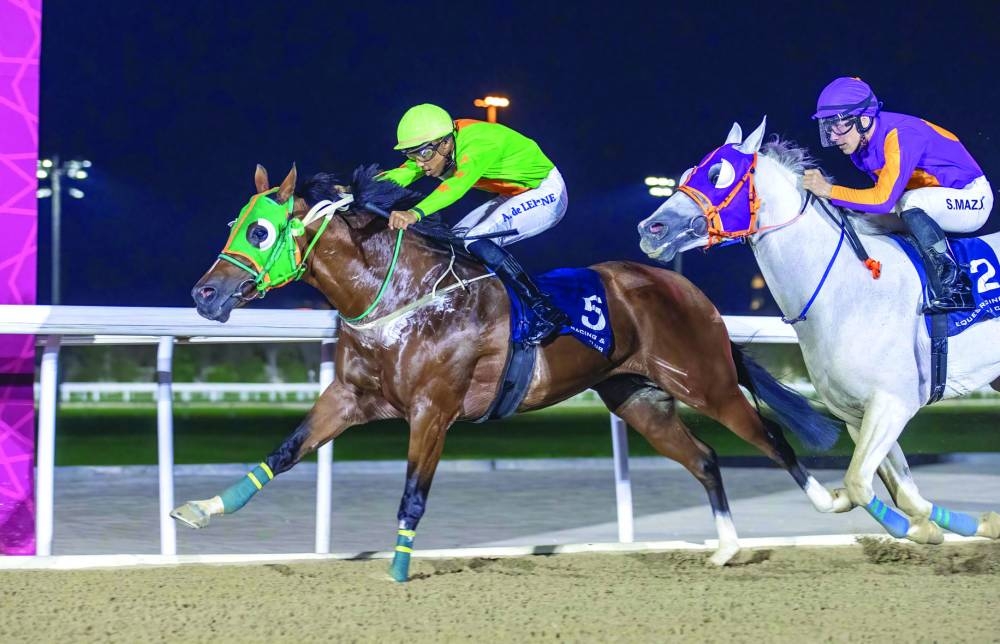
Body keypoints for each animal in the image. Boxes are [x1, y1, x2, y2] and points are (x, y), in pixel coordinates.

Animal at [172, 162, 843, 580]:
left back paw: (840, 504)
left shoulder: (433, 411)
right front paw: (203, 508)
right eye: (234, 224)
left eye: (261, 230)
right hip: (638, 398)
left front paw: (398, 571)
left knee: (769, 435)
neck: (400, 296)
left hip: (704, 379)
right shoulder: (350, 396)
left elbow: (413, 494)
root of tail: (684, 286)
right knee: (703, 457)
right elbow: (284, 452)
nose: (204, 294)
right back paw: (727, 547)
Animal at [637, 116, 1000, 545]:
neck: (847, 290)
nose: (651, 228)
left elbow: (859, 483)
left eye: (718, 175)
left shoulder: (894, 402)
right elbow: (902, 493)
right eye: (688, 173)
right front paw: (946, 527)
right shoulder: (856, 414)